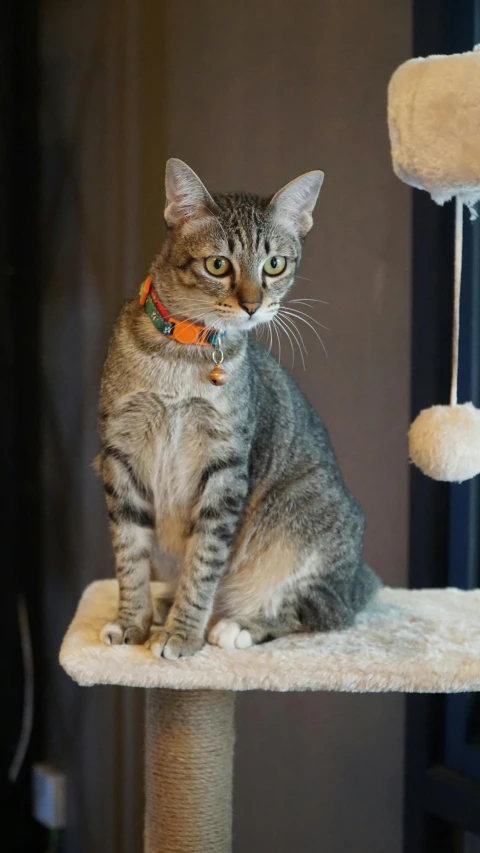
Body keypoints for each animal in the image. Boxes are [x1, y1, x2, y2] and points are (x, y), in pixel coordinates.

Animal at [97, 156, 380, 656]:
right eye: (217, 264)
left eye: (274, 263)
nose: (252, 304)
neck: (182, 358)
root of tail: (357, 580)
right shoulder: (119, 455)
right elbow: (129, 555)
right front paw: (133, 620)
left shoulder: (225, 468)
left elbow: (205, 561)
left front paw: (183, 634)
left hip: (306, 515)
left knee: (322, 610)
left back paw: (238, 624)